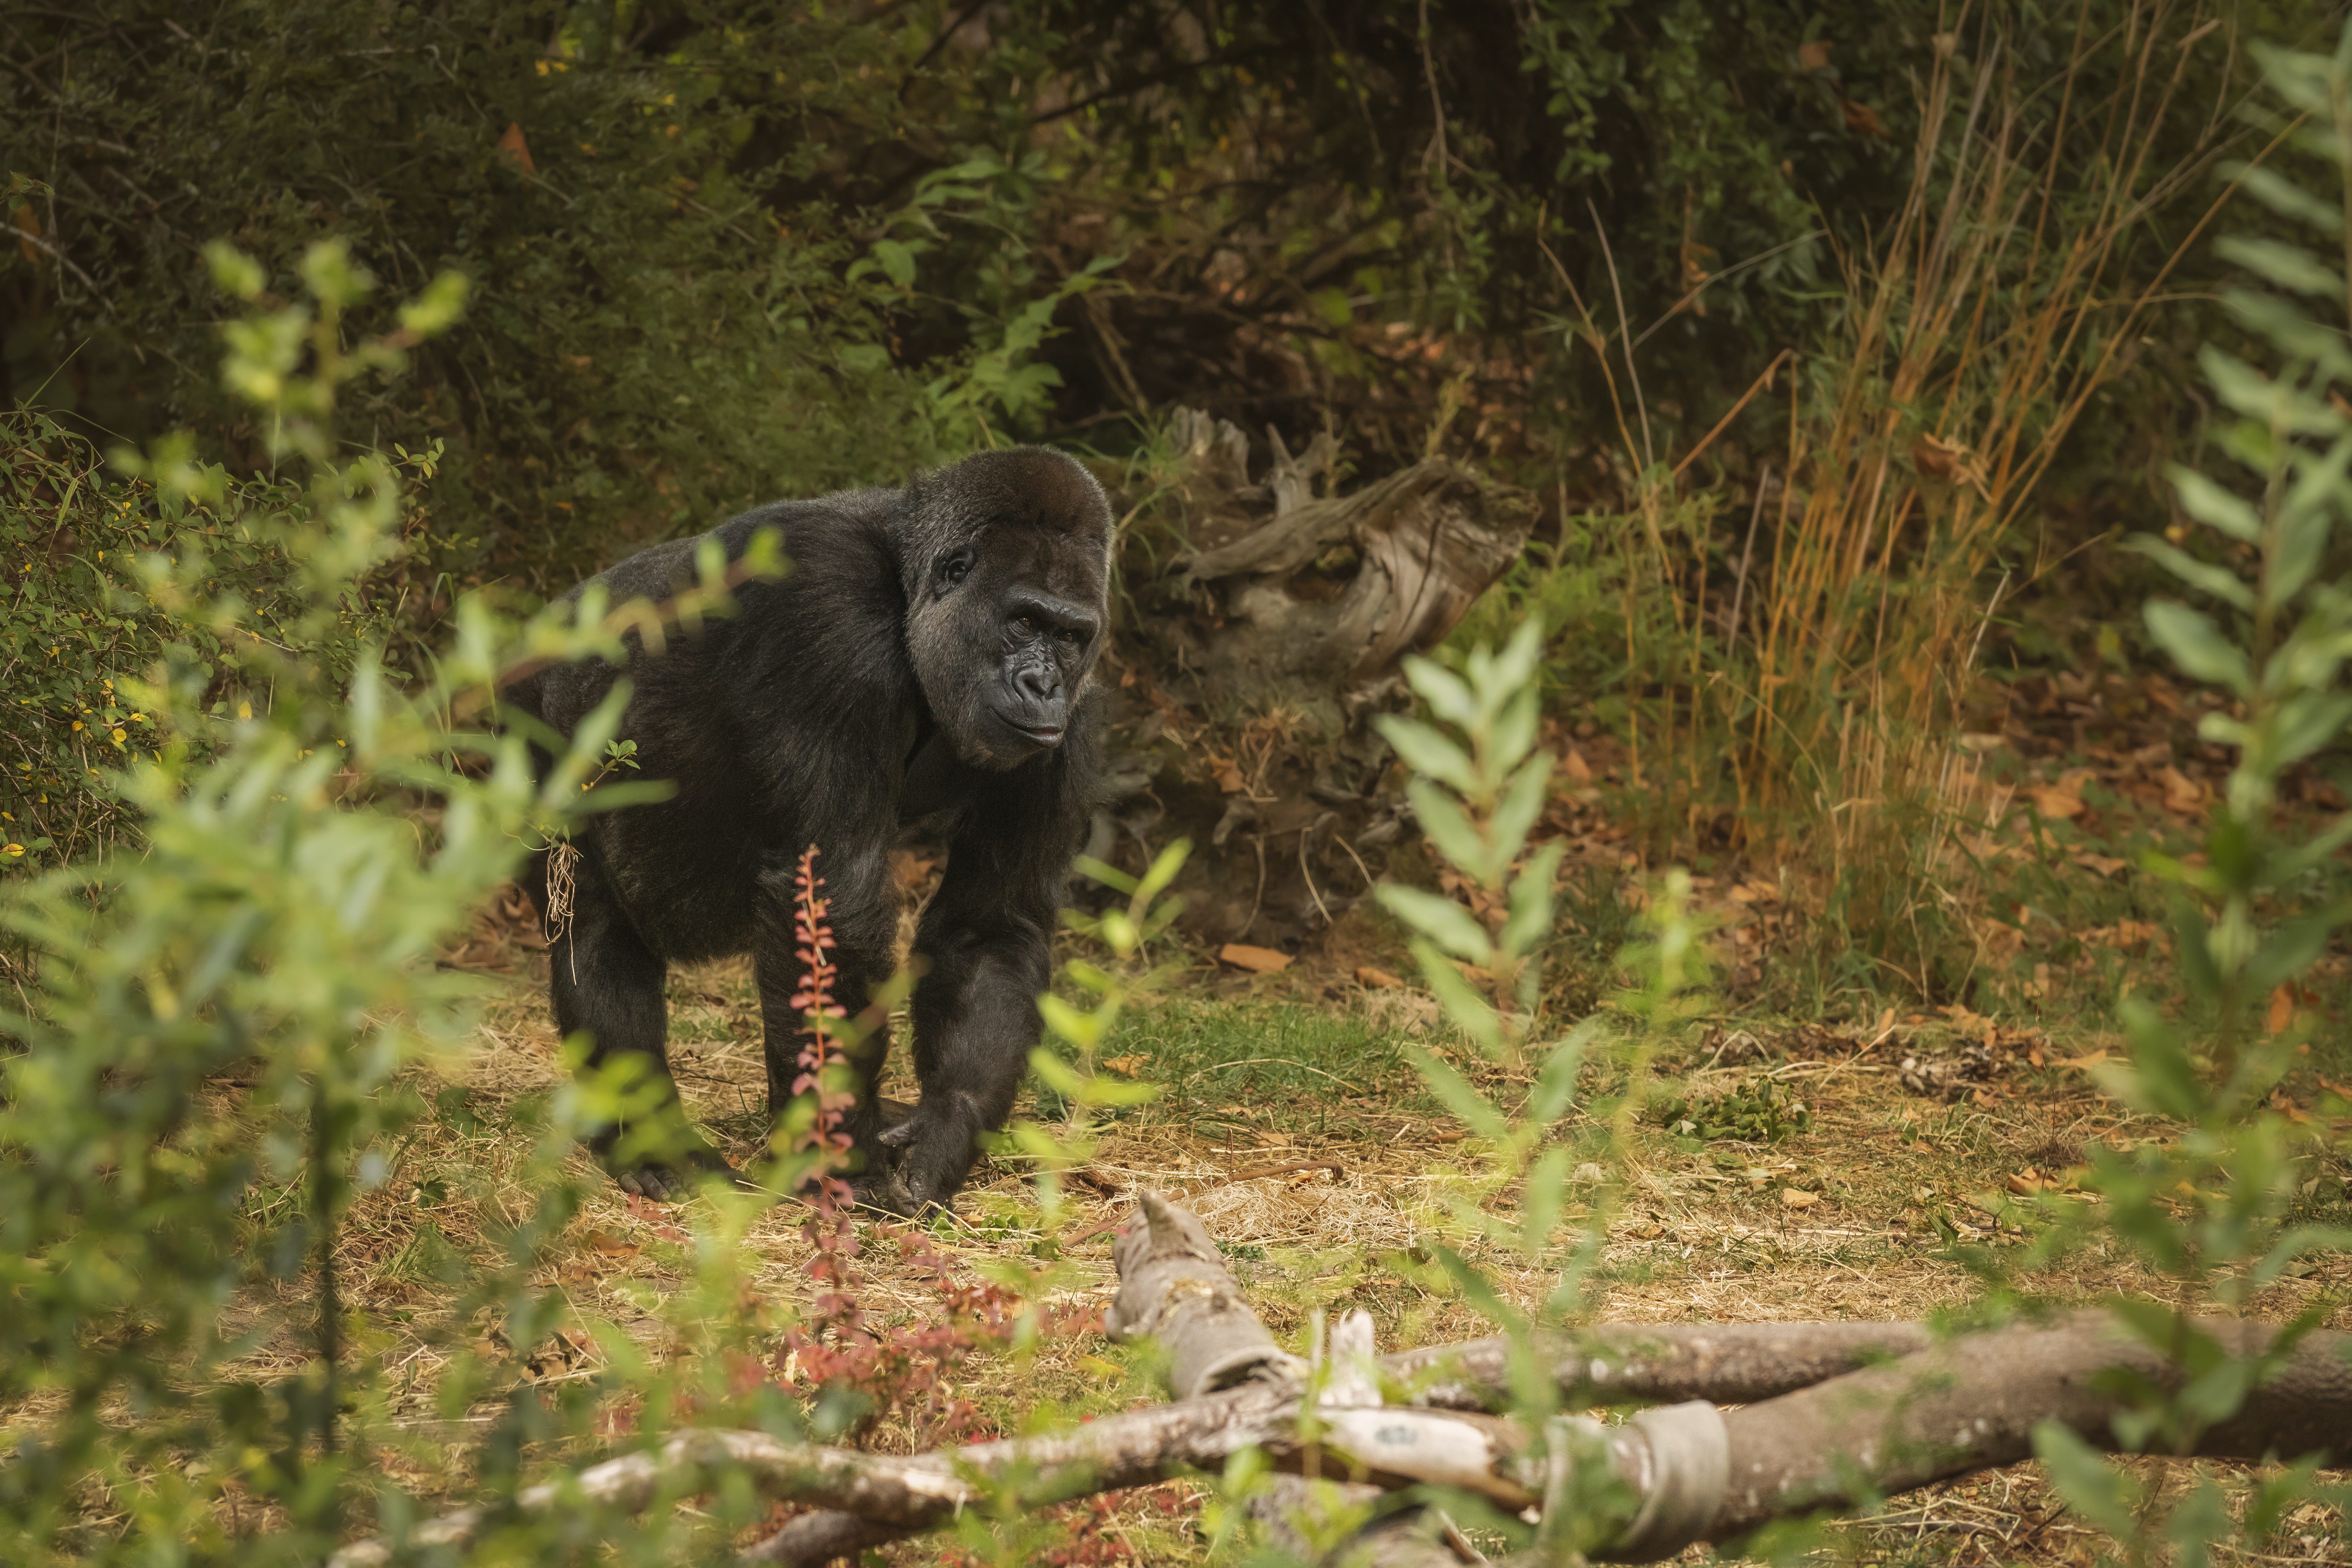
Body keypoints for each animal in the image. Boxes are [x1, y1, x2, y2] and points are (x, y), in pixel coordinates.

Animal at [502, 447, 1110, 1213]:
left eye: (1070, 636)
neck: (906, 589)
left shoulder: (1073, 722)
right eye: (1024, 621)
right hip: (531, 716)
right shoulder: (824, 614)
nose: (1042, 686)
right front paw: (843, 1154)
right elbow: (832, 897)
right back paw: (647, 1137)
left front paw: (946, 1130)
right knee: (593, 921)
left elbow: (991, 927)